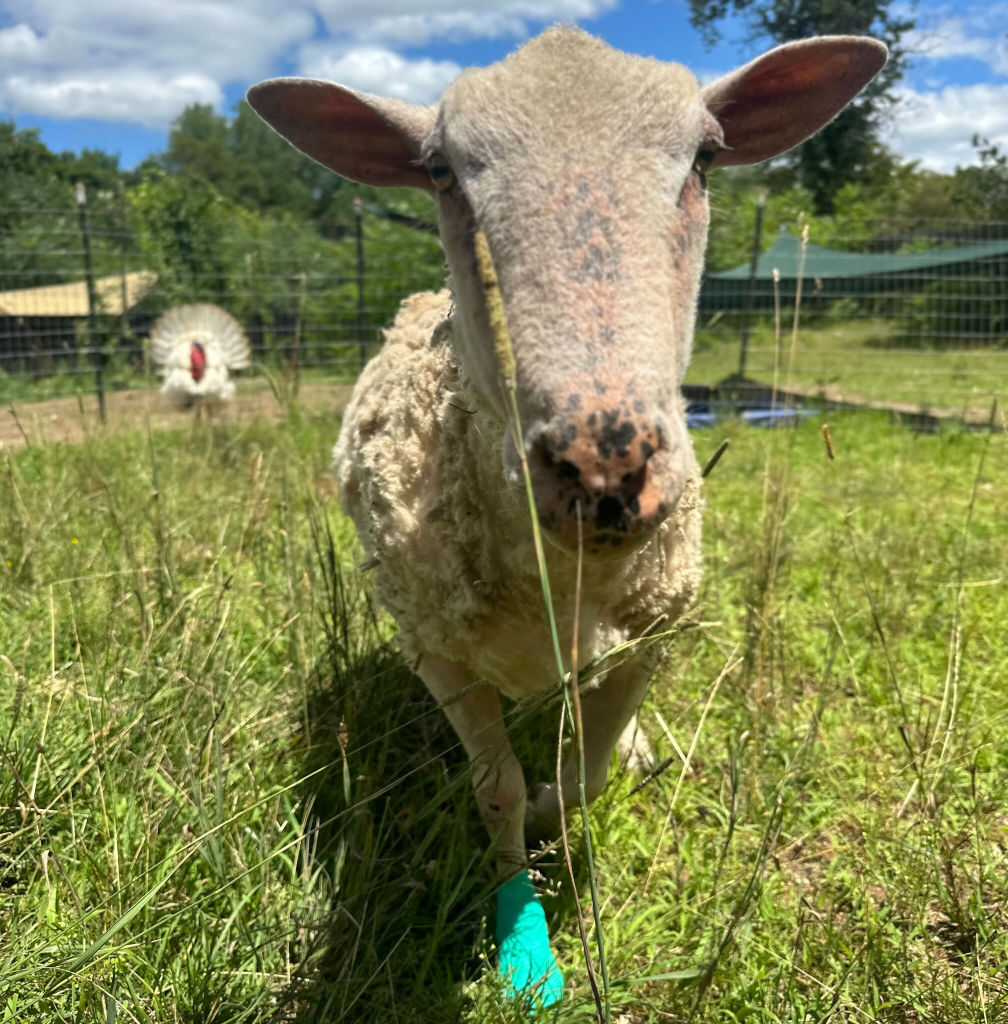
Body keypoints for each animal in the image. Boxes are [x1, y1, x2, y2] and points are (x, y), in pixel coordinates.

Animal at [247, 26, 886, 1007]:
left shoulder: (655, 632)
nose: (605, 463)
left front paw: (563, 810)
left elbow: (583, 775)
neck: (566, 573)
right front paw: (521, 929)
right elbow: (499, 791)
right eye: (440, 170)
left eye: (706, 157)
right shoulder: (438, 649)